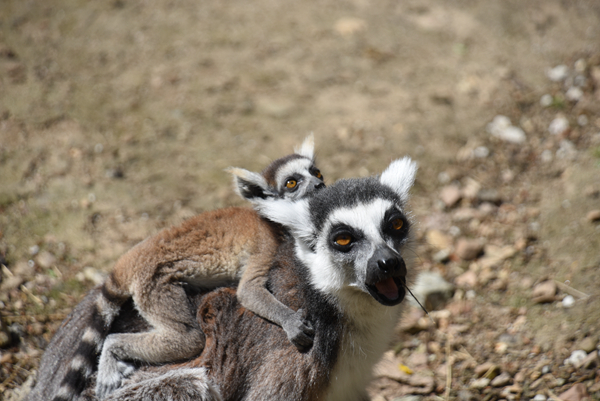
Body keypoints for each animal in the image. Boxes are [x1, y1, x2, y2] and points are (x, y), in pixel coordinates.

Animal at [30, 135, 325, 401]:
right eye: (292, 183)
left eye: (316, 172)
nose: (320, 184)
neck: (272, 220)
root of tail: (134, 254)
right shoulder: (266, 245)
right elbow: (249, 292)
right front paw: (290, 322)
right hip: (154, 287)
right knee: (187, 338)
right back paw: (113, 349)